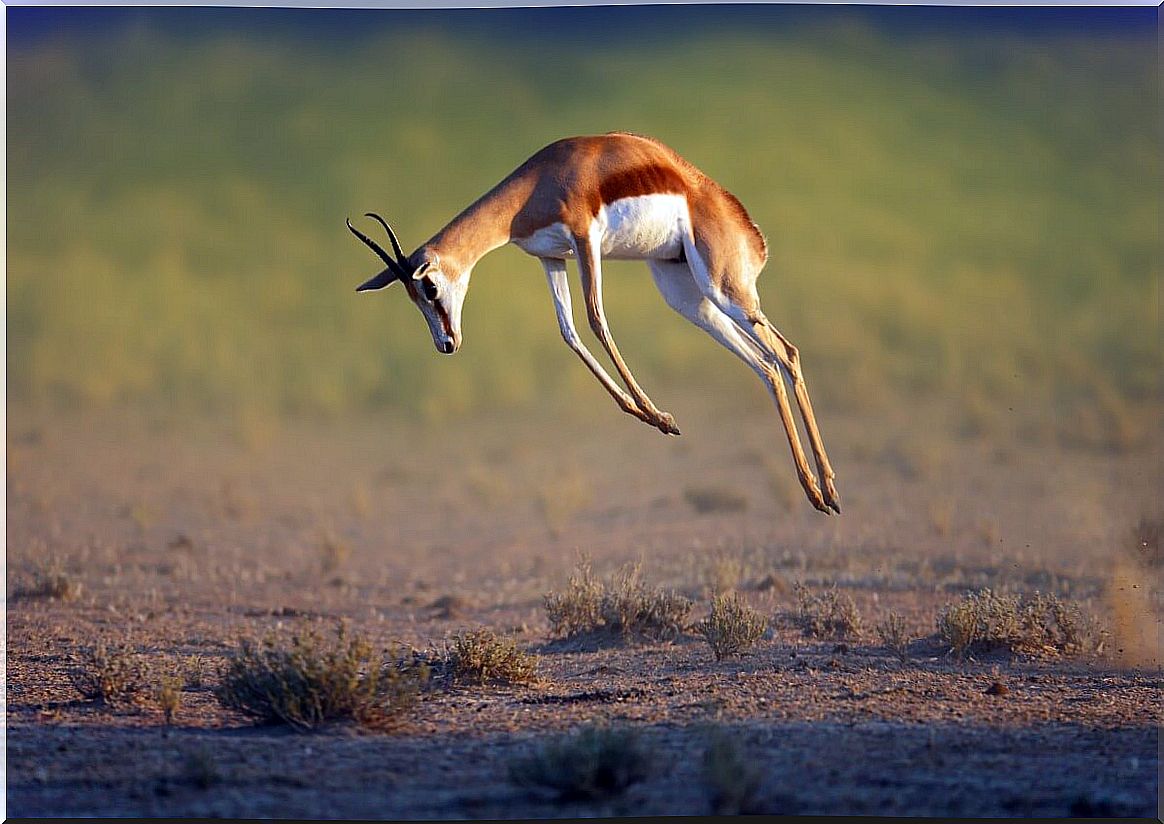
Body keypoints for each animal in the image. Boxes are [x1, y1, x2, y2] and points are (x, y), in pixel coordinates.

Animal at [344, 130, 838, 512]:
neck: (536, 185)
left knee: (785, 353)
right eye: (413, 297)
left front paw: (659, 416)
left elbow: (596, 320)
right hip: (686, 296)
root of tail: (744, 227)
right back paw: (818, 492)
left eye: (428, 288)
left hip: (725, 289)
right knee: (766, 365)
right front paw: (652, 418)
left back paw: (826, 491)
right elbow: (569, 333)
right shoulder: (551, 258)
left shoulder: (585, 240)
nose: (446, 344)